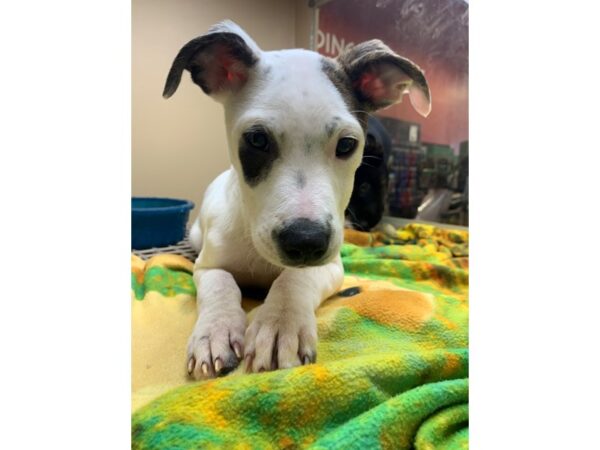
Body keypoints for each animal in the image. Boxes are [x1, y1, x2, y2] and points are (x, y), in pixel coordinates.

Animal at [162, 22, 428, 380]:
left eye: (347, 144)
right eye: (257, 140)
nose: (305, 241)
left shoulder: (330, 265)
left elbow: (295, 278)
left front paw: (279, 322)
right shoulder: (208, 265)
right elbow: (221, 285)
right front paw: (215, 331)